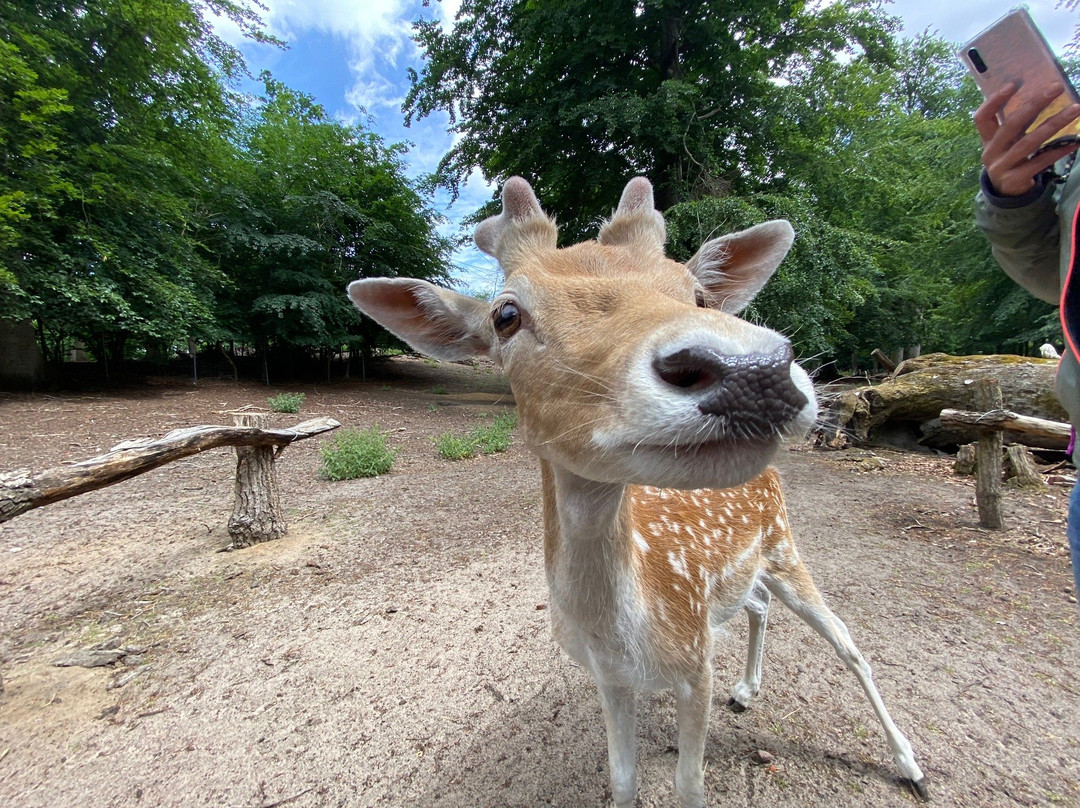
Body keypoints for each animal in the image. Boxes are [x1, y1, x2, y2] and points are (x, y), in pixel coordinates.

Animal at [347, 177, 928, 808]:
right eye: (506, 314)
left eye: (698, 293)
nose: (754, 368)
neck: (623, 636)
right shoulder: (610, 678)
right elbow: (621, 780)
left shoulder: (696, 663)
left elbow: (690, 786)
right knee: (758, 603)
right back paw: (747, 690)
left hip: (784, 546)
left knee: (846, 641)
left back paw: (910, 765)